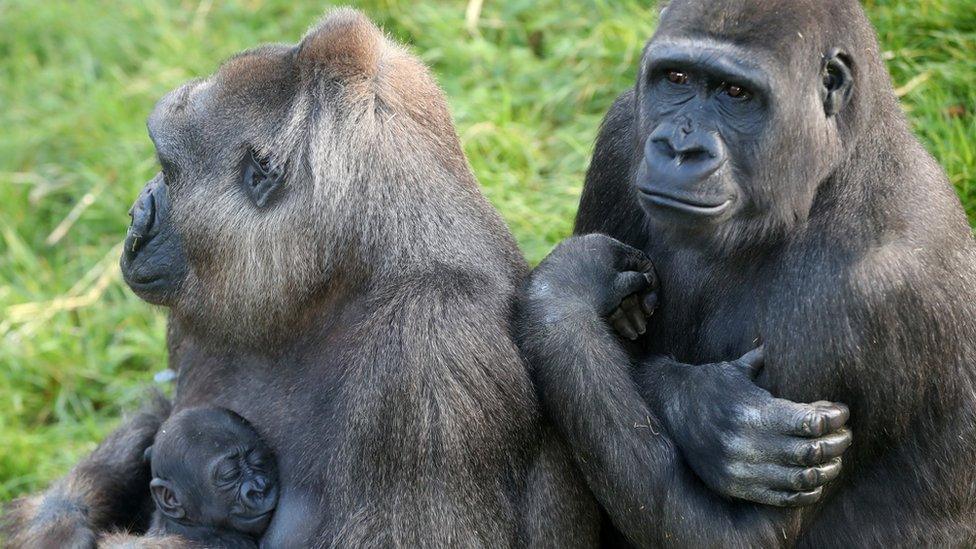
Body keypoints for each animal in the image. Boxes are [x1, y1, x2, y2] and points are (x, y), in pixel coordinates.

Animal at [3, 10, 604, 544]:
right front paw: (56, 521)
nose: (137, 214)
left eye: (168, 171)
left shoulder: (435, 350)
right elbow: (157, 418)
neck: (346, 272)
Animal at [524, 0, 976, 544]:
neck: (830, 173)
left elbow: (733, 534)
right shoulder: (621, 134)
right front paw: (706, 406)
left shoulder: (871, 292)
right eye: (676, 77)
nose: (679, 150)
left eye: (736, 93)